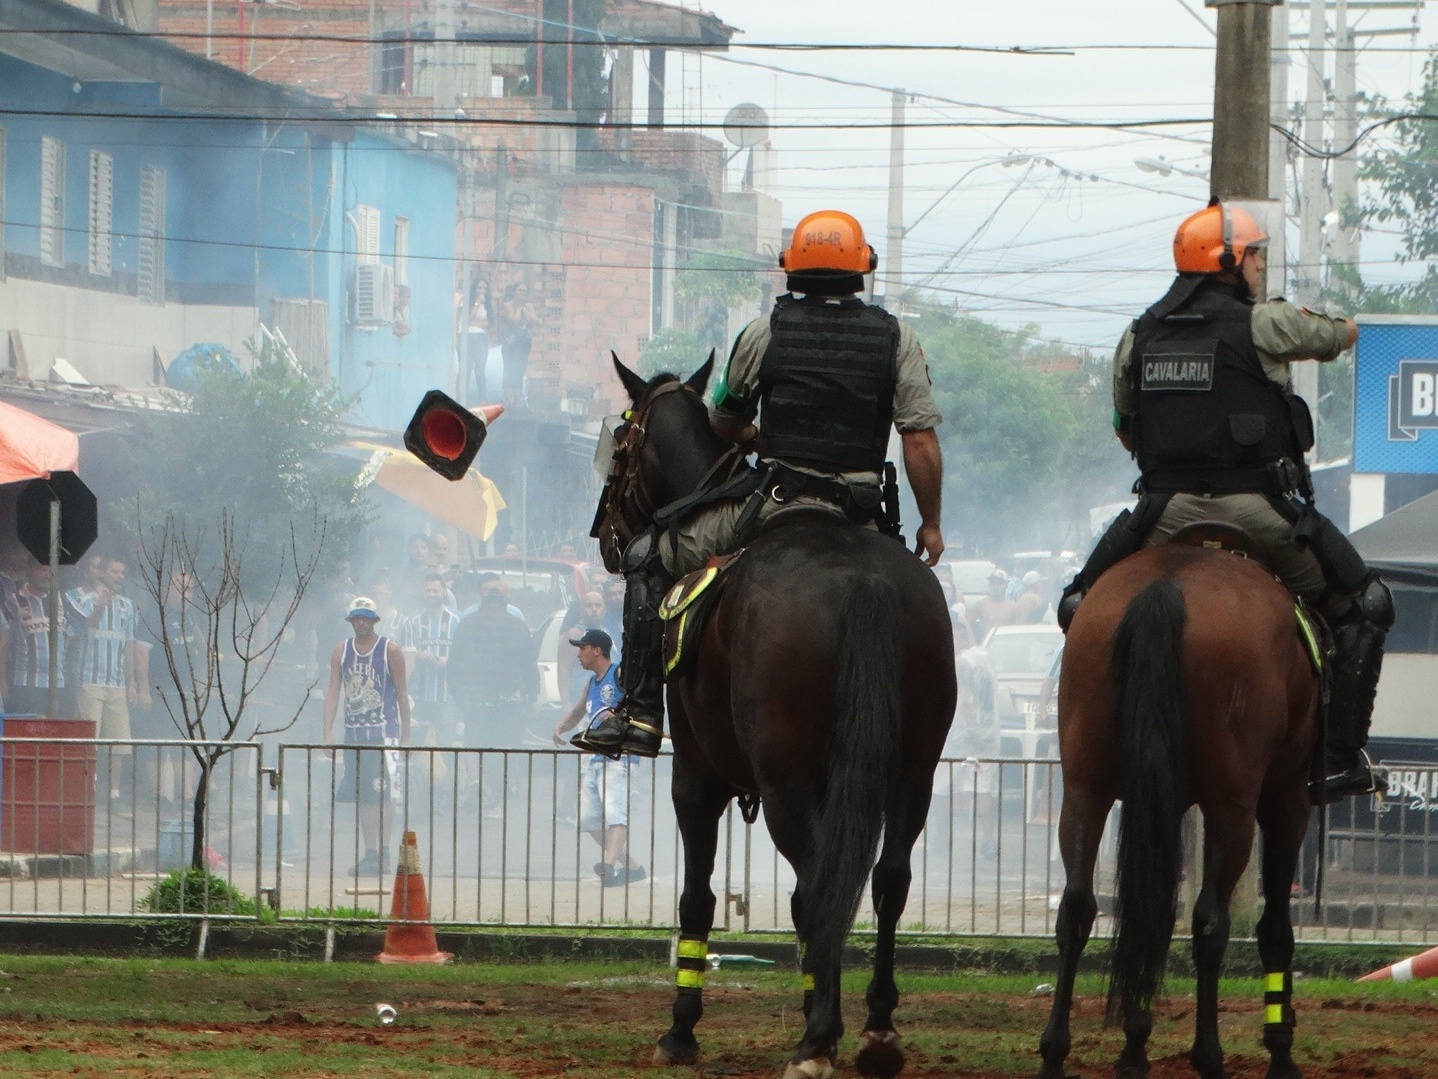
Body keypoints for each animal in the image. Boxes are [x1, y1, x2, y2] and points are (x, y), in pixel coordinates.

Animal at [601, 356, 960, 1079]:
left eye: (621, 445)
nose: (603, 535)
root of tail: (865, 582)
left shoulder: (696, 775)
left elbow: (698, 896)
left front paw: (681, 1028)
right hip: (914, 771)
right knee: (887, 880)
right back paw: (876, 1027)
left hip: (786, 779)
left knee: (820, 886)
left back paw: (818, 1039)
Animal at [1041, 549, 1317, 1079]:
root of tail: (1166, 584)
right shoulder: (1286, 799)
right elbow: (1274, 929)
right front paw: (1280, 1049)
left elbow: (1154, 911)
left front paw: (1135, 1042)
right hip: (1234, 807)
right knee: (1210, 921)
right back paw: (1209, 1056)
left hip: (1084, 787)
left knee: (1079, 907)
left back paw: (1055, 1053)